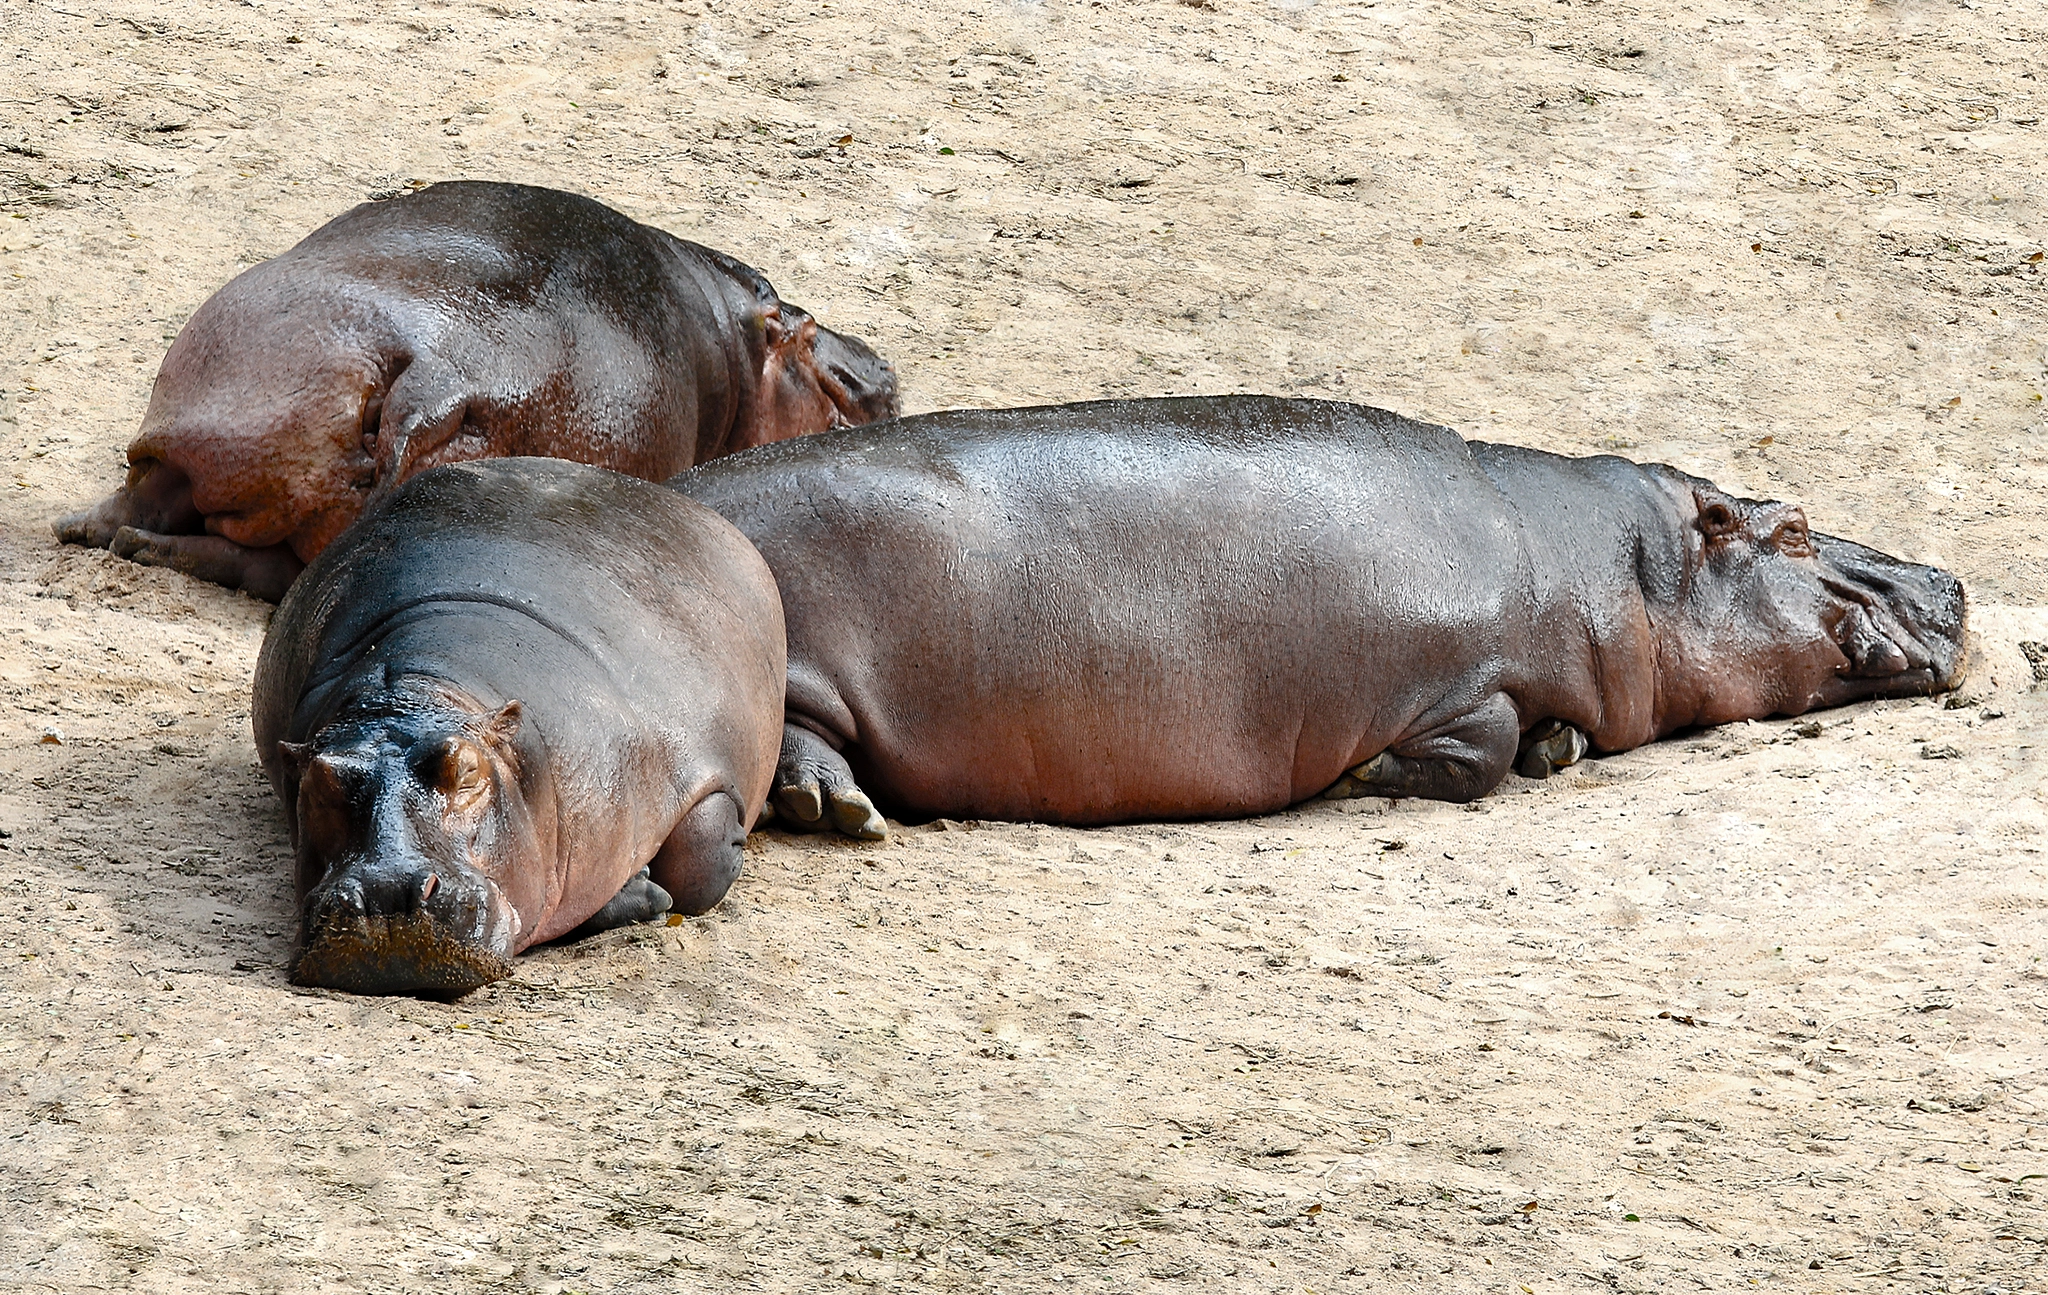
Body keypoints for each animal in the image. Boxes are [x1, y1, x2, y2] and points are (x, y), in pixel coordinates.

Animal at [56, 180, 898, 602]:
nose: (883, 368)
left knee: (193, 528)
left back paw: (101, 534)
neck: (731, 339)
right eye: (807, 333)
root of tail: (445, 368)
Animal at [253, 458, 785, 996]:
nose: (387, 892)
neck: (415, 692)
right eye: (320, 783)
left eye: (467, 770)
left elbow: (698, 861)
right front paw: (645, 891)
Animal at [669, 396, 1965, 834]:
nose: (1949, 583)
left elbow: (1536, 735)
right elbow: (1483, 742)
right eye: (1791, 528)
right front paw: (1369, 776)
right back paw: (836, 808)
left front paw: (1557, 745)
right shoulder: (1451, 673)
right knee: (793, 738)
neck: (1622, 561)